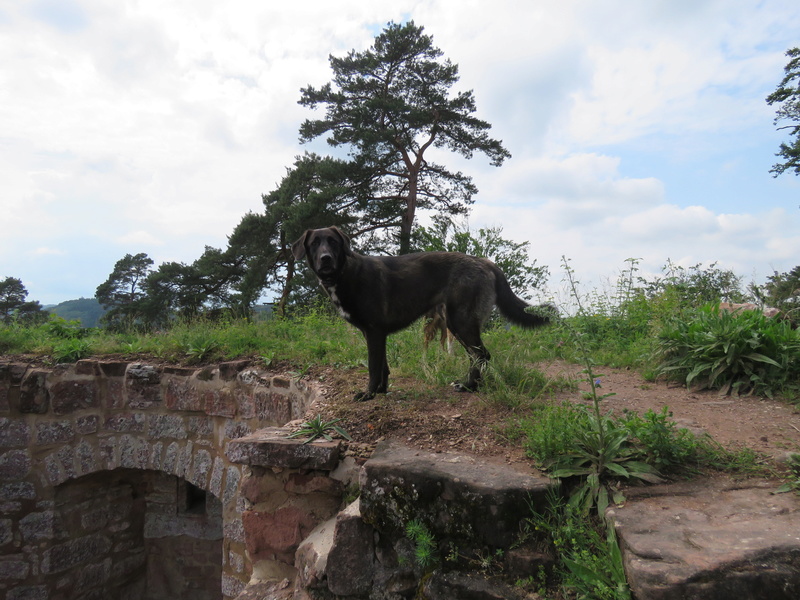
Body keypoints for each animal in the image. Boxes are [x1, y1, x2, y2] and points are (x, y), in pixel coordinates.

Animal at [294, 227, 556, 400]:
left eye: (333, 242)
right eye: (315, 243)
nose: (325, 259)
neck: (344, 273)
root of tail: (485, 262)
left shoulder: (374, 332)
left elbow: (373, 367)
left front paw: (368, 394)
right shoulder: (377, 334)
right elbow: (383, 366)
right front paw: (381, 391)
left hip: (459, 321)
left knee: (482, 355)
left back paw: (470, 388)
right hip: (457, 325)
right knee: (477, 356)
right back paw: (469, 386)